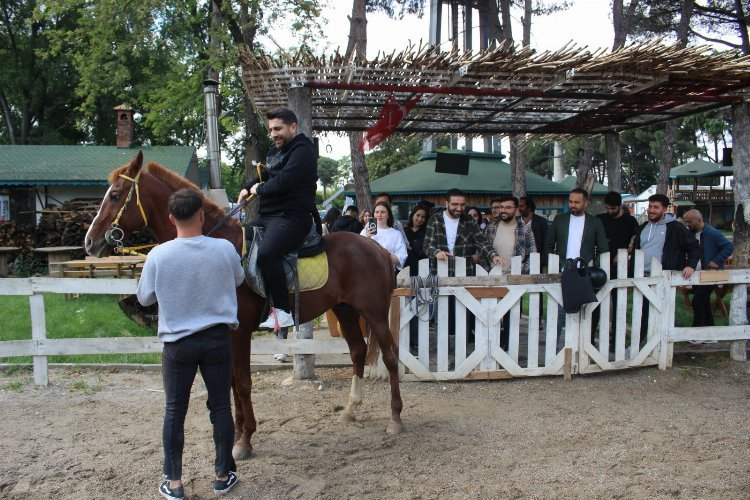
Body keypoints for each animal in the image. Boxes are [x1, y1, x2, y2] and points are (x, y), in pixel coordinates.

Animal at [84, 151, 403, 460]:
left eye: (115, 195)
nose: (90, 241)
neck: (215, 244)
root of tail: (378, 249)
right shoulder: (224, 334)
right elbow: (231, 384)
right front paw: (237, 433)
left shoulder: (239, 333)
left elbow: (243, 383)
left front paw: (245, 439)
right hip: (345, 310)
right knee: (358, 352)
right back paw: (351, 409)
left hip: (374, 313)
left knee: (390, 356)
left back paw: (395, 418)